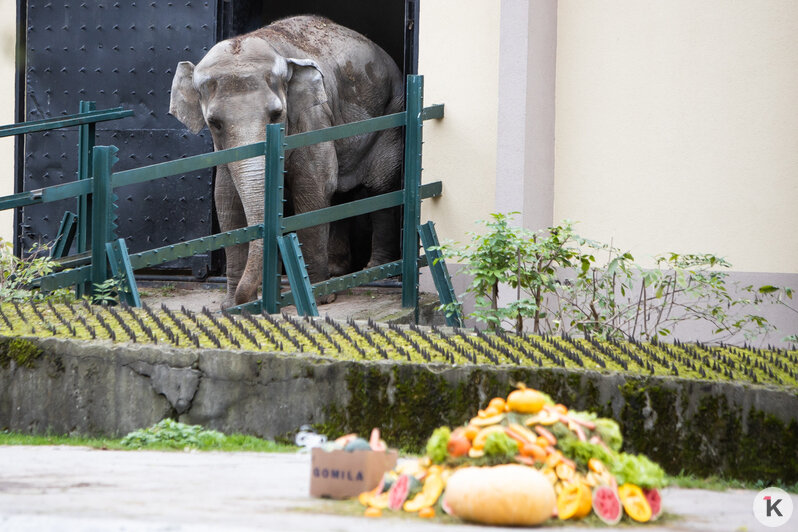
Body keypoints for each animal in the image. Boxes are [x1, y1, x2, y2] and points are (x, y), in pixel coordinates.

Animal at [170, 15, 406, 308]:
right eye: (214, 123)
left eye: (276, 114)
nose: (247, 297)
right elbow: (226, 201)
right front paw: (232, 305)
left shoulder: (313, 118)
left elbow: (313, 187)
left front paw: (319, 298)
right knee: (341, 195)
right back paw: (338, 270)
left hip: (392, 115)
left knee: (380, 188)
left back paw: (376, 270)